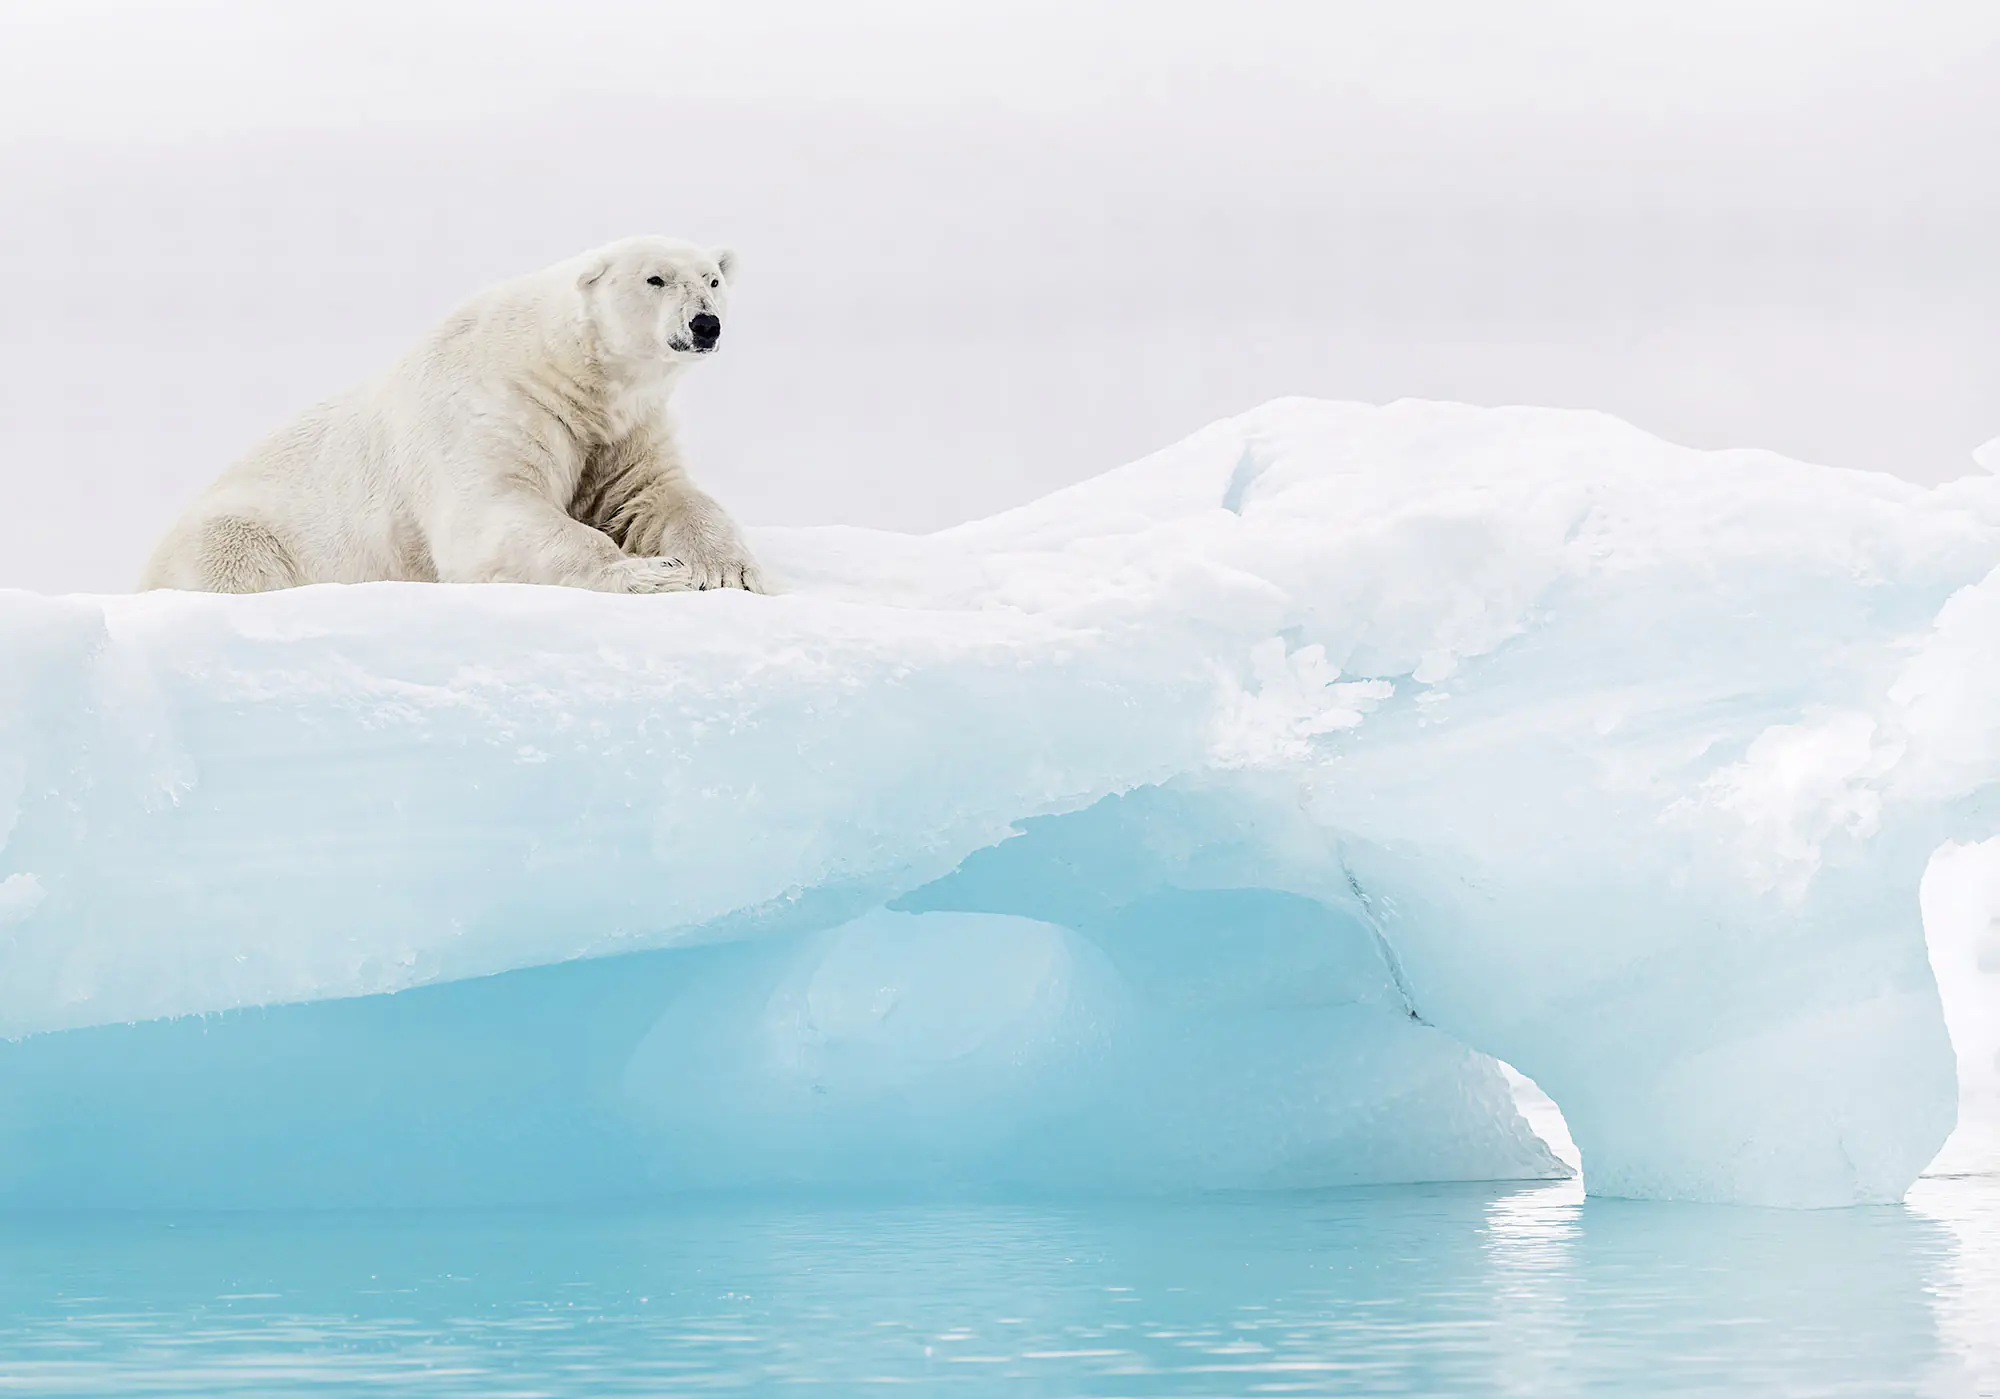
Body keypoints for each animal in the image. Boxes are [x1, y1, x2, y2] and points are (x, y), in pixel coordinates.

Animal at [141, 236, 769, 595]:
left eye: (712, 279)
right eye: (654, 278)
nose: (705, 324)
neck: (566, 371)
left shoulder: (621, 428)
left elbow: (651, 496)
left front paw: (728, 570)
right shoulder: (494, 409)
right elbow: (492, 513)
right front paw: (651, 573)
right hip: (242, 535)